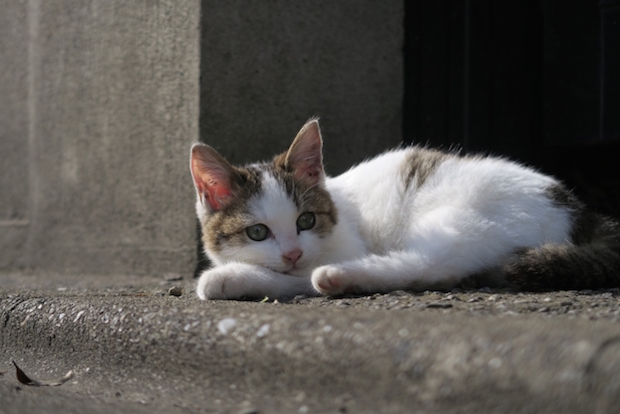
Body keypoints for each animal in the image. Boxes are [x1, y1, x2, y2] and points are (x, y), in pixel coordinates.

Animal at [189, 118, 620, 300]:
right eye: (257, 231)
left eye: (306, 220)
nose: (293, 252)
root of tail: (580, 209)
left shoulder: (346, 245)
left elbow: (291, 277)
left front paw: (226, 278)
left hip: (461, 217)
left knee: (432, 266)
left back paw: (337, 278)